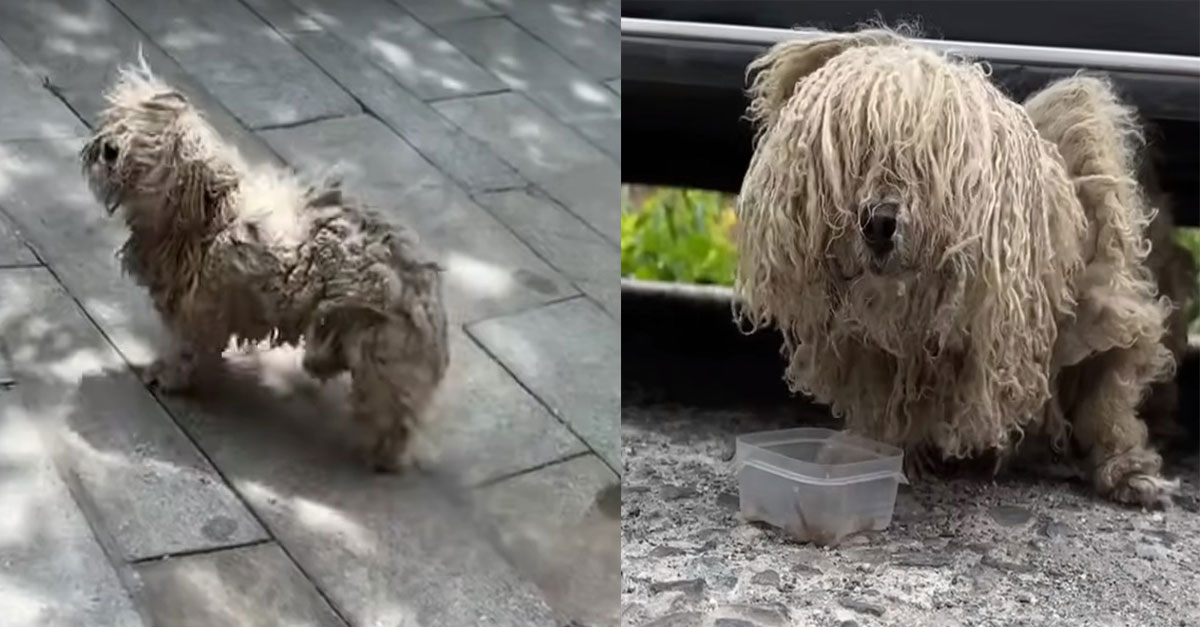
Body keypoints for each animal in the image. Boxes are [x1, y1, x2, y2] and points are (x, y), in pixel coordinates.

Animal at [81, 57, 451, 468]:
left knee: (393, 413)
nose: (109, 149)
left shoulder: (199, 309)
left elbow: (185, 346)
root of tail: (426, 289)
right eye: (119, 119)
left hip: (379, 355)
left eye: (148, 140)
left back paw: (382, 455)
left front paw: (169, 376)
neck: (205, 212)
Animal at [734, 30, 1195, 506]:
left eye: (927, 164)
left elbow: (1107, 397)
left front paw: (1127, 470)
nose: (878, 222)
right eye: (855, 156)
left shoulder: (1105, 309)